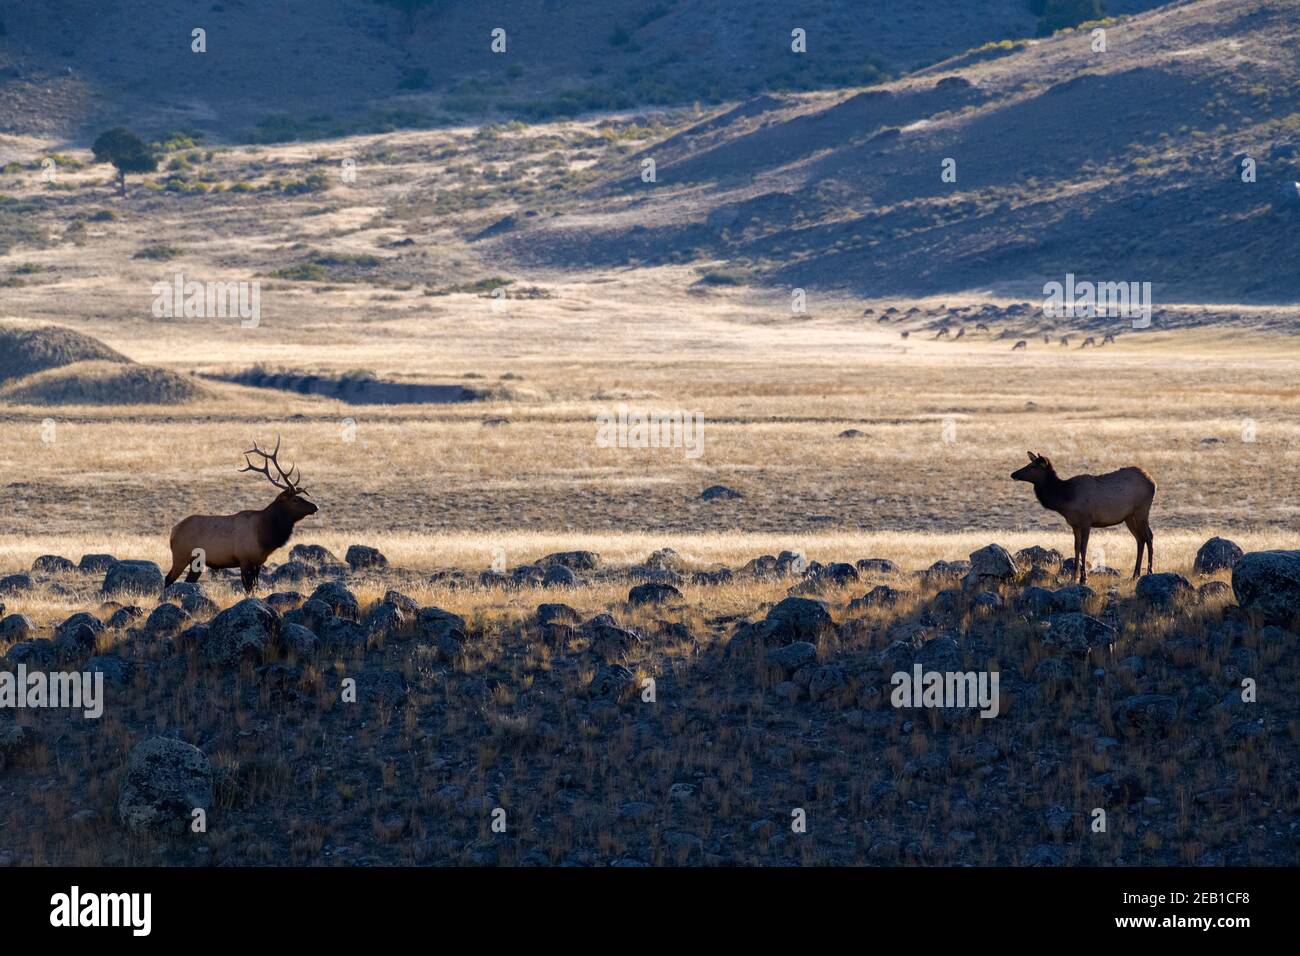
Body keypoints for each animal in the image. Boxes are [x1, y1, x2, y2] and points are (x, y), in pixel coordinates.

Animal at [163, 439, 318, 590]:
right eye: (296, 499)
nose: (315, 506)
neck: (266, 534)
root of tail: (173, 531)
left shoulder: (258, 562)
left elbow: (255, 587)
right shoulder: (244, 559)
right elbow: (248, 588)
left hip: (198, 562)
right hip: (181, 556)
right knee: (168, 579)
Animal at [1008, 452, 1154, 587]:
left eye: (1032, 466)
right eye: (1029, 463)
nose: (1013, 474)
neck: (1064, 499)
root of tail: (1153, 482)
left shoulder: (1086, 521)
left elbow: (1084, 548)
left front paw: (1084, 578)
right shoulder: (1074, 524)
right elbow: (1076, 547)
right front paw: (1074, 577)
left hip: (1142, 511)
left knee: (1149, 537)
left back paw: (1149, 572)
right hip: (1129, 517)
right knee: (1140, 539)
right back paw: (1135, 574)